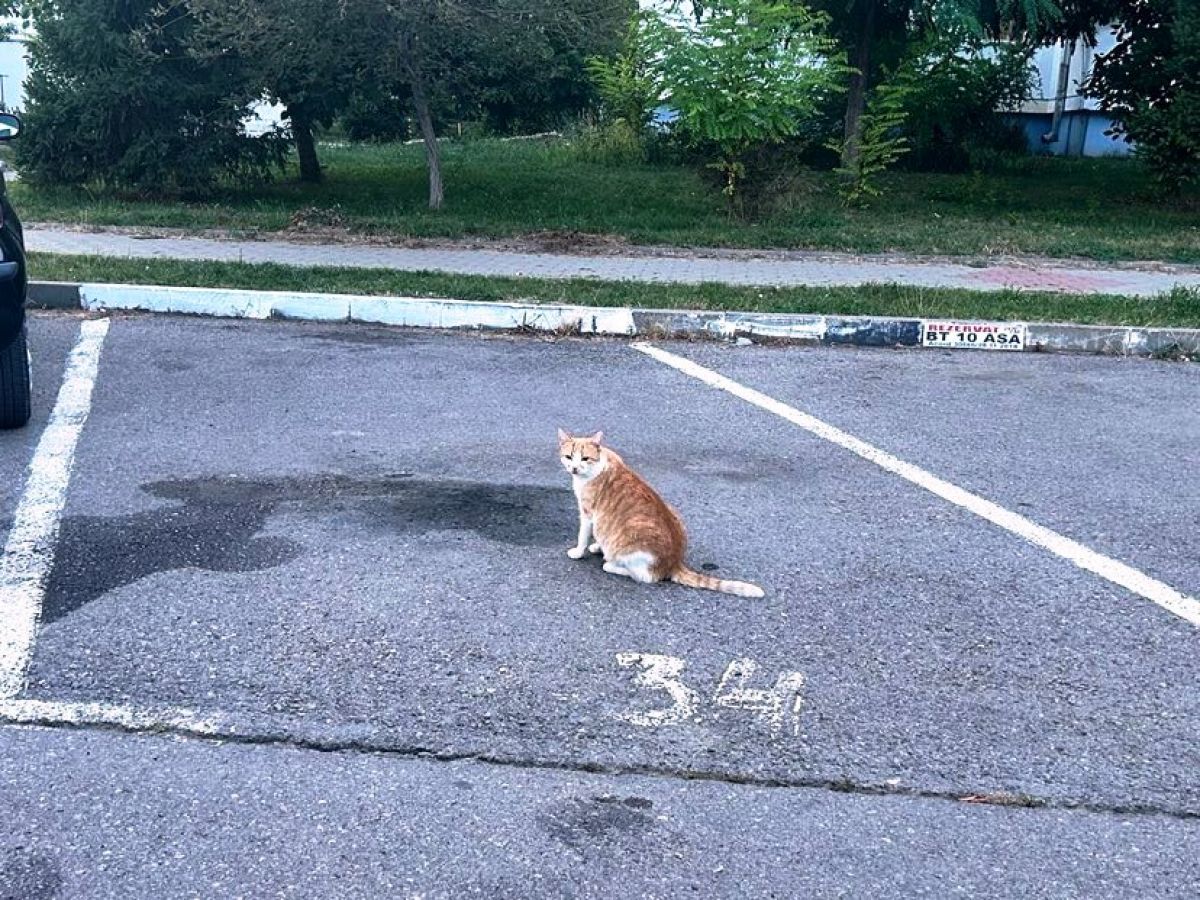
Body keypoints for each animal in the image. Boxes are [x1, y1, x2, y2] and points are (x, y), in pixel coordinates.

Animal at [558, 429, 764, 598]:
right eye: (568, 457)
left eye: (585, 458)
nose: (574, 468)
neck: (601, 463)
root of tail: (674, 562)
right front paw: (596, 546)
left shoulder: (587, 513)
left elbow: (583, 535)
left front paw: (579, 551)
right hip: (675, 512)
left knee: (645, 576)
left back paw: (611, 564)